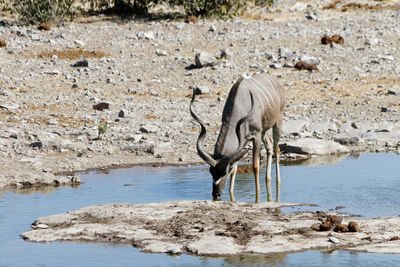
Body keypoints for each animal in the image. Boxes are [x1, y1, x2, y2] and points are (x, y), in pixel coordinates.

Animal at [190, 73, 284, 203]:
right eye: (211, 171)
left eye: (225, 172)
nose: (216, 194)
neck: (241, 103)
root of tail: (277, 80)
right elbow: (235, 168)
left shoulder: (256, 135)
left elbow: (255, 166)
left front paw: (257, 199)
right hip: (265, 130)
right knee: (269, 146)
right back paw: (268, 180)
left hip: (277, 123)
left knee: (276, 149)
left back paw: (277, 183)